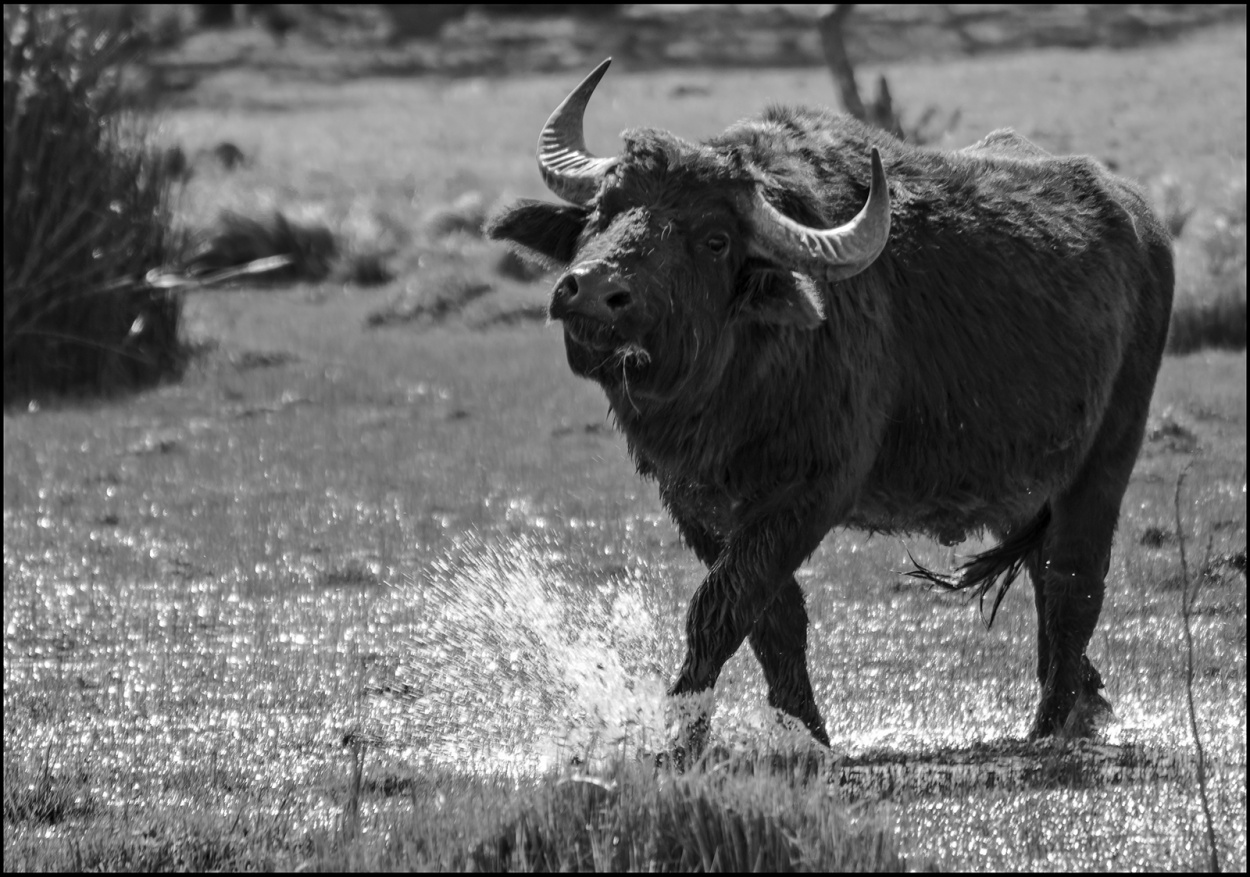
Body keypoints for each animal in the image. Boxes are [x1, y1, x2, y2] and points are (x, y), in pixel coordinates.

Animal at [485, 58, 1170, 764]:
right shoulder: (695, 502)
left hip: (1104, 462)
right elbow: (772, 618)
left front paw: (681, 737)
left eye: (714, 239)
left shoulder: (813, 491)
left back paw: (1050, 727)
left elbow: (719, 608)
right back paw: (1087, 701)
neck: (735, 385)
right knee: (1043, 575)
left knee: (1073, 580)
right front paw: (804, 731)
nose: (592, 290)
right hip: (1027, 485)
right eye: (604, 210)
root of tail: (1141, 222)